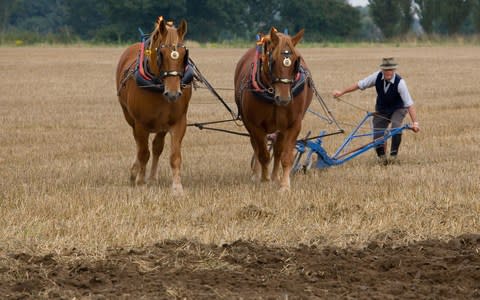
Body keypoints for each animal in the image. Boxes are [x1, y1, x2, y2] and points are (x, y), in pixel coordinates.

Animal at [116, 17, 191, 195]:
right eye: (161, 54)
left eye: (184, 56)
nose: (173, 94)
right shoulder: (140, 123)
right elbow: (143, 153)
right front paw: (140, 182)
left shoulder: (179, 122)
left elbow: (174, 155)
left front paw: (177, 188)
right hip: (131, 120)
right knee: (140, 146)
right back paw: (136, 172)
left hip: (162, 125)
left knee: (157, 146)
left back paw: (152, 178)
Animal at [234, 28, 314, 192]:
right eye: (274, 61)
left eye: (296, 61)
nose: (283, 99)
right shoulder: (255, 126)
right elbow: (263, 154)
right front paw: (264, 180)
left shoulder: (293, 124)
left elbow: (286, 155)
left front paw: (284, 185)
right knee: (257, 147)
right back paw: (257, 175)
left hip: (280, 128)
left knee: (277, 150)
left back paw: (275, 176)